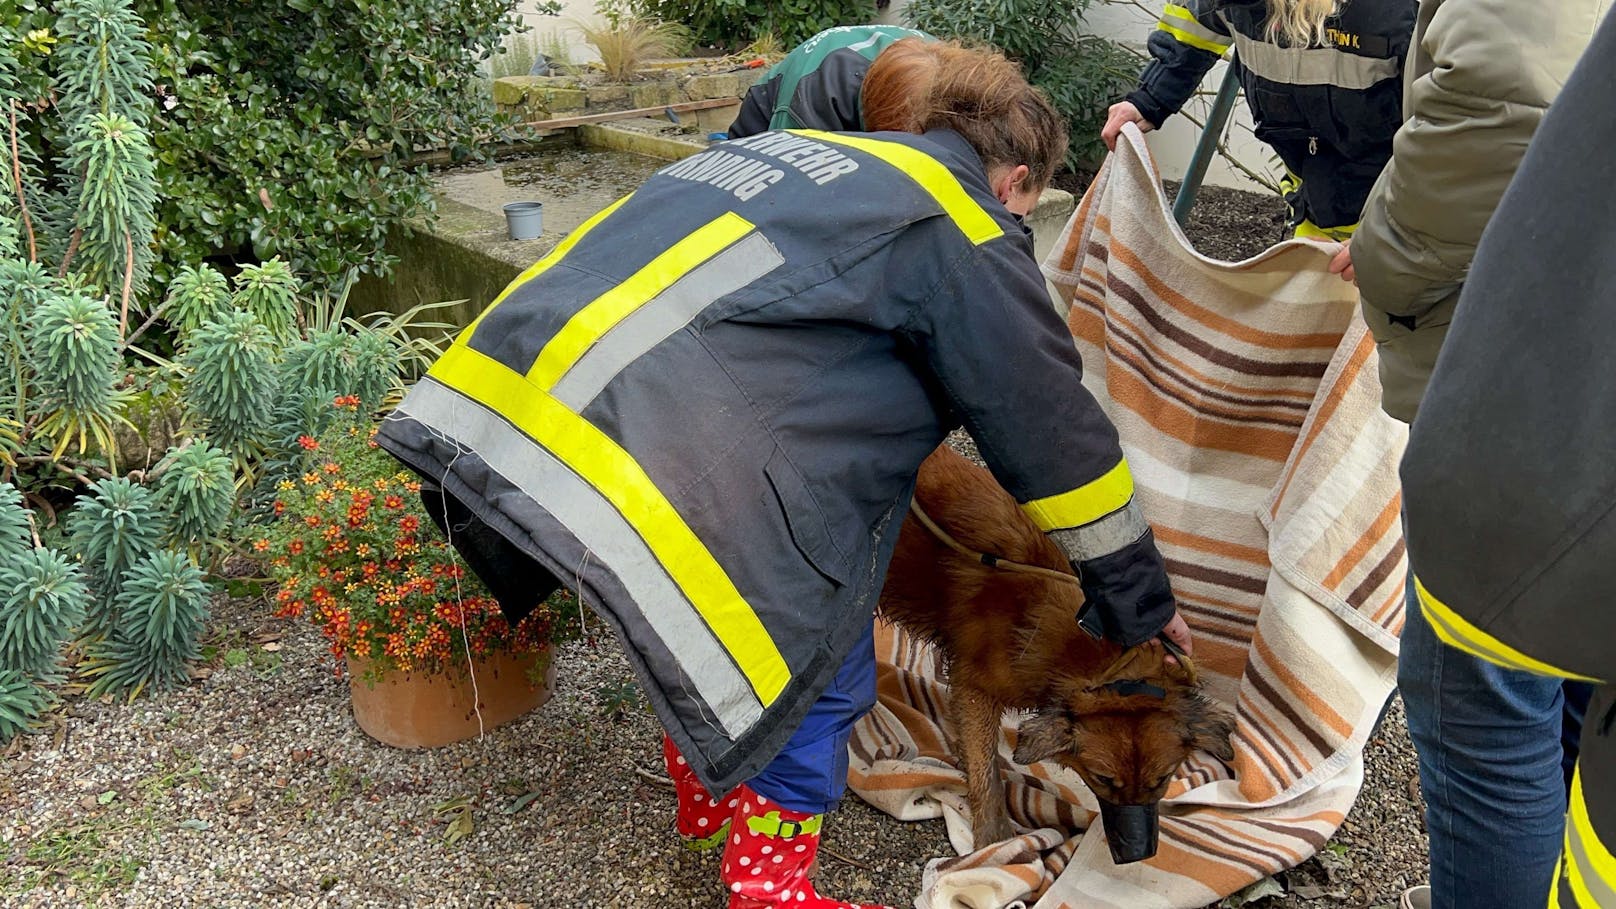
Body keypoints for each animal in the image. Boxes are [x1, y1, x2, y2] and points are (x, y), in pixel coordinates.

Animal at [879, 443, 1228, 854]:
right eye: (1102, 778)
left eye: (1162, 779)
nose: (1137, 853)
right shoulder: (974, 690)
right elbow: (986, 771)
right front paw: (994, 841)